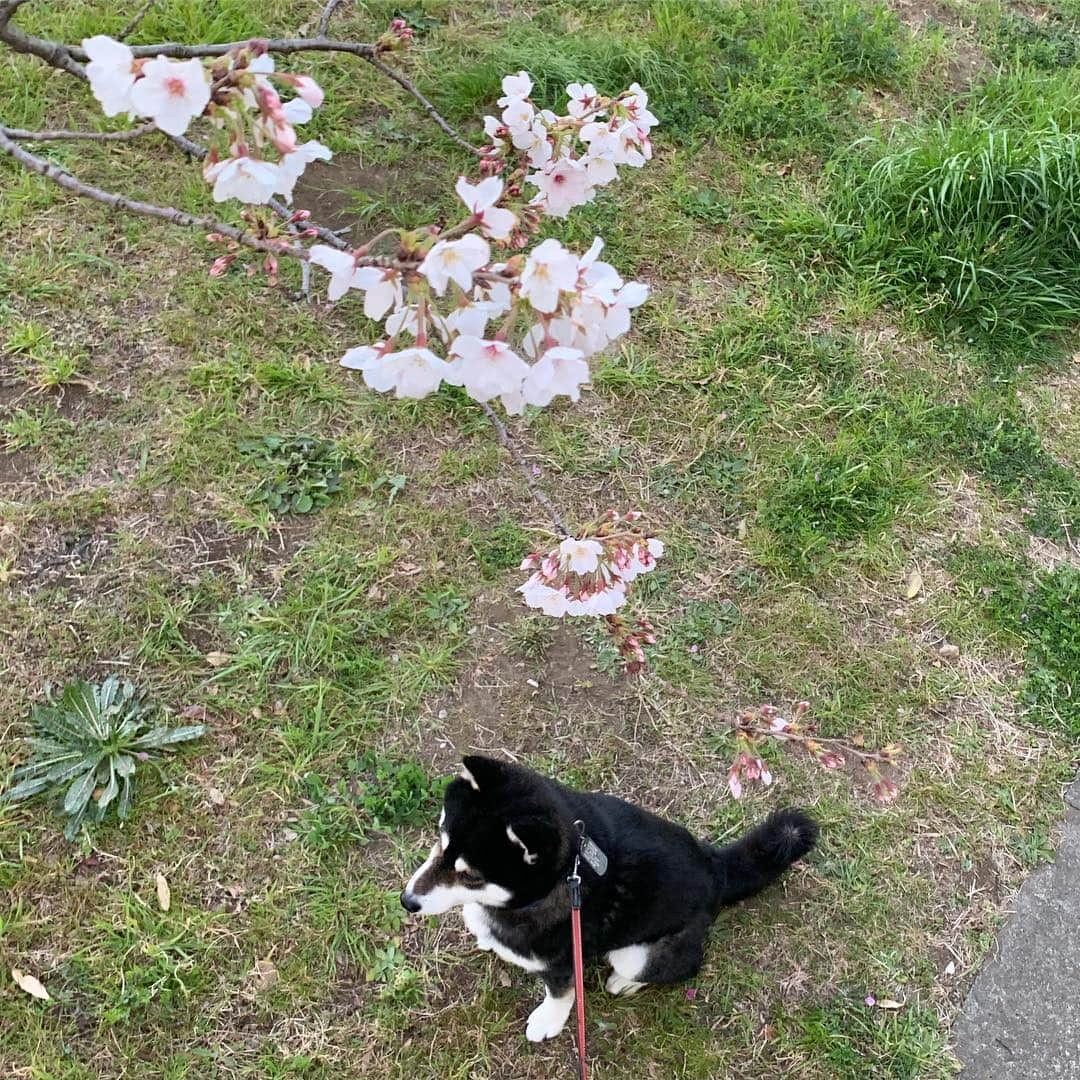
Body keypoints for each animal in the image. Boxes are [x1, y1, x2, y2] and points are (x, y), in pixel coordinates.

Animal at [401, 756, 812, 1041]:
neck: (560, 880)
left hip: (637, 953)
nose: (407, 901)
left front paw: (548, 1021)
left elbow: (561, 993)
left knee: (683, 965)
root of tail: (716, 868)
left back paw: (626, 982)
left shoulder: (564, 962)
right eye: (440, 838)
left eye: (471, 875)